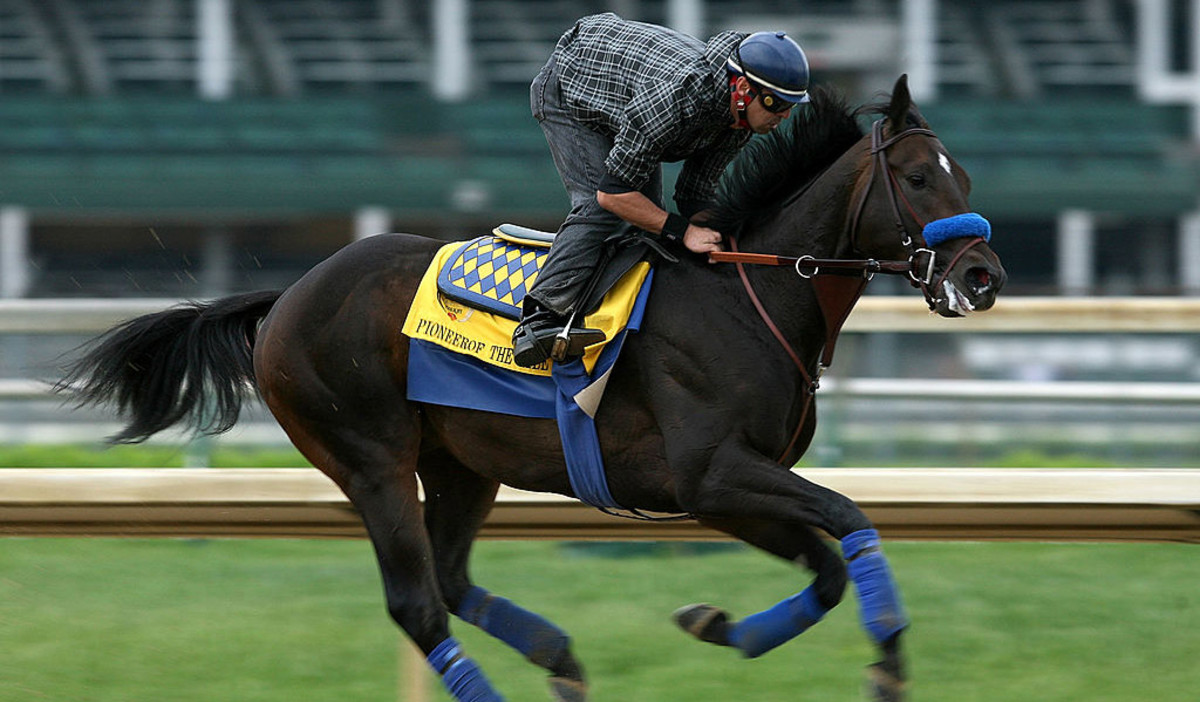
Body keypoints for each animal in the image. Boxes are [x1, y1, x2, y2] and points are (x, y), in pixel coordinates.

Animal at [63, 73, 1003, 696]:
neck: (748, 293)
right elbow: (850, 520)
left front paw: (717, 624)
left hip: (459, 464)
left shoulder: (723, 491)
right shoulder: (712, 473)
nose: (983, 275)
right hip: (369, 458)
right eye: (918, 177)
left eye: (964, 175)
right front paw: (889, 661)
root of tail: (287, 295)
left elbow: (828, 567)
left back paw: (560, 657)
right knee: (418, 605)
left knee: (448, 580)